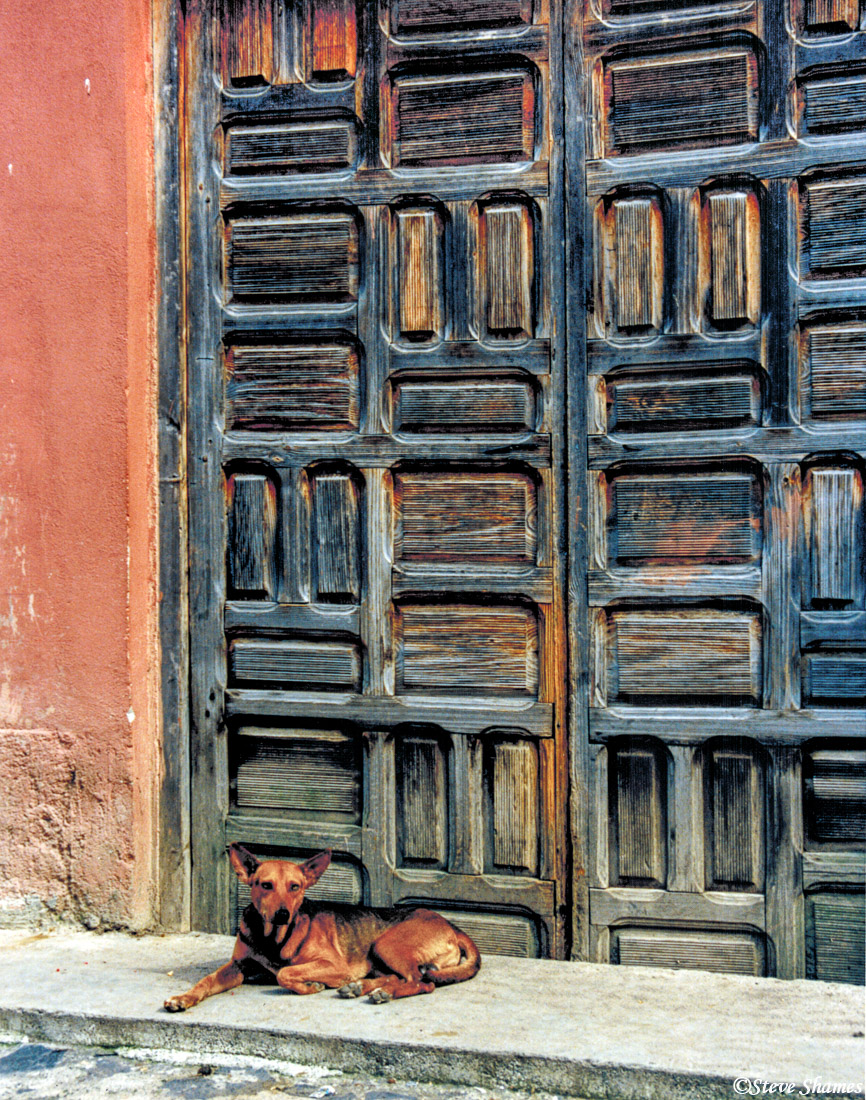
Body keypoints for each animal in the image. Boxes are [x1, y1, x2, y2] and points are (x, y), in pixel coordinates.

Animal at [162, 844, 481, 1007]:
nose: (282, 914)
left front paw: (310, 986)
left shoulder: (333, 964)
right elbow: (205, 981)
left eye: (295, 886)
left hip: (386, 944)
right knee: (401, 977)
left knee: (422, 982)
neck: (272, 938)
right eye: (265, 885)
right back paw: (360, 987)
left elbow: (285, 973)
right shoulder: (237, 966)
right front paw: (184, 997)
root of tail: (451, 925)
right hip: (381, 956)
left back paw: (381, 992)